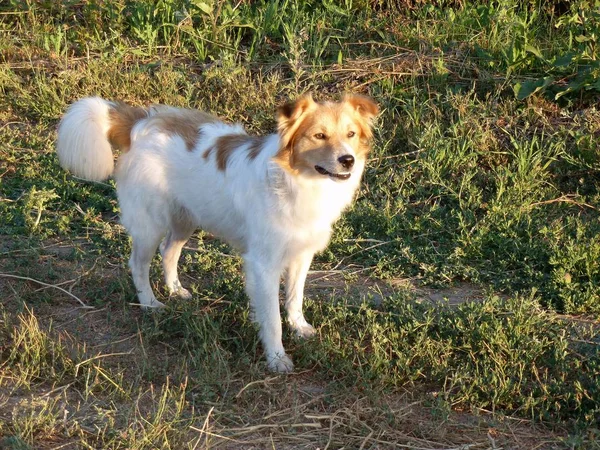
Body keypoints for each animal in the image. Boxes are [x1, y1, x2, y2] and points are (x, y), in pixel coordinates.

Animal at [55, 93, 376, 370]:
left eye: (351, 134)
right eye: (319, 135)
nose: (348, 160)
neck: (298, 181)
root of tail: (141, 122)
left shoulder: (301, 254)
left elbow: (294, 298)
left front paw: (299, 327)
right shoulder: (264, 264)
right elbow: (272, 318)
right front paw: (276, 358)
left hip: (185, 218)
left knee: (168, 252)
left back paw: (175, 290)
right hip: (150, 224)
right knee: (138, 263)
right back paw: (150, 303)